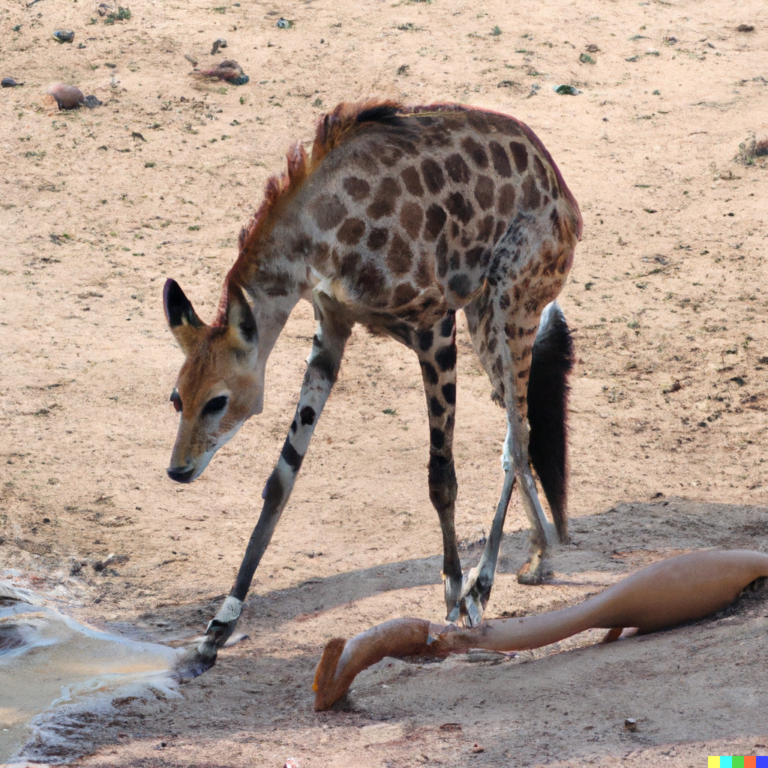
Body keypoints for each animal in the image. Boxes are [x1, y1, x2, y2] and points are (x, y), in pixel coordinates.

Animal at [164, 99, 584, 668]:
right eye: (176, 398)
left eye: (217, 401)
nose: (178, 470)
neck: (321, 231)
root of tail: (566, 199)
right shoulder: (332, 329)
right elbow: (280, 481)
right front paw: (217, 629)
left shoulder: (434, 326)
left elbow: (440, 478)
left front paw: (453, 593)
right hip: (486, 318)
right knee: (515, 433)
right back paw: (538, 560)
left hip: (508, 303)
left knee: (517, 438)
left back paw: (484, 586)